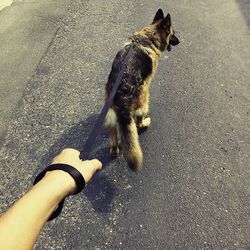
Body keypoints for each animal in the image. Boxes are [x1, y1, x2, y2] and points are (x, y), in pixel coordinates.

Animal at [104, 8, 180, 173]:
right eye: (173, 33)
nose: (180, 41)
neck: (149, 37)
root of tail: (122, 95)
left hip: (110, 114)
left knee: (113, 134)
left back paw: (114, 149)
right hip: (145, 100)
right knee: (138, 123)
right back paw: (145, 123)